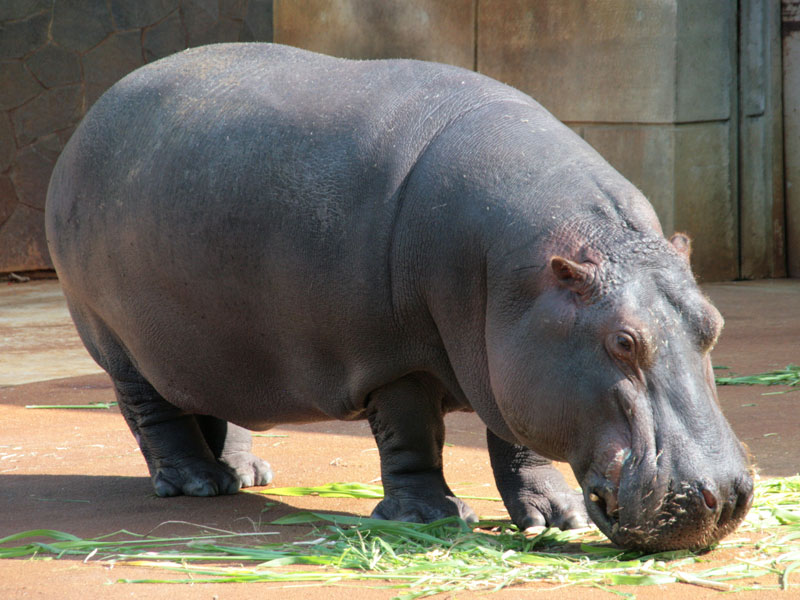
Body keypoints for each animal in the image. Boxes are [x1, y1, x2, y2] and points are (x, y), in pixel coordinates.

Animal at [47, 42, 752, 552]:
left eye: (714, 323)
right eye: (623, 341)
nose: (725, 496)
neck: (519, 277)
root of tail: (87, 121)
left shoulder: (511, 358)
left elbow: (518, 442)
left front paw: (558, 517)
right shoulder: (393, 361)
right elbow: (412, 437)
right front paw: (429, 517)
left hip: (211, 341)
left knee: (217, 400)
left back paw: (243, 477)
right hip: (116, 340)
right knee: (152, 412)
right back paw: (194, 483)